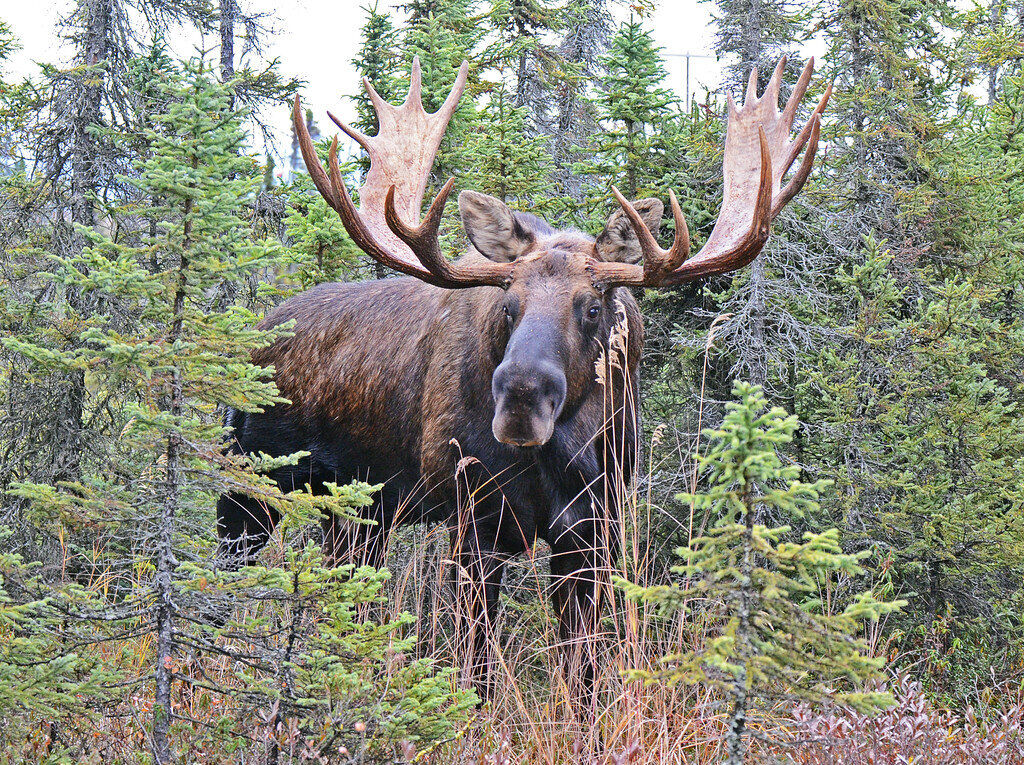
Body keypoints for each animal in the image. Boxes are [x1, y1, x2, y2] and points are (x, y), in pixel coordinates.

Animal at [216, 56, 828, 699]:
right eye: (508, 303)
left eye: (593, 306)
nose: (518, 401)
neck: (561, 456)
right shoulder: (476, 519)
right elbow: (476, 666)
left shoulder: (593, 528)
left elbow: (583, 665)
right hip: (249, 485)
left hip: (356, 512)